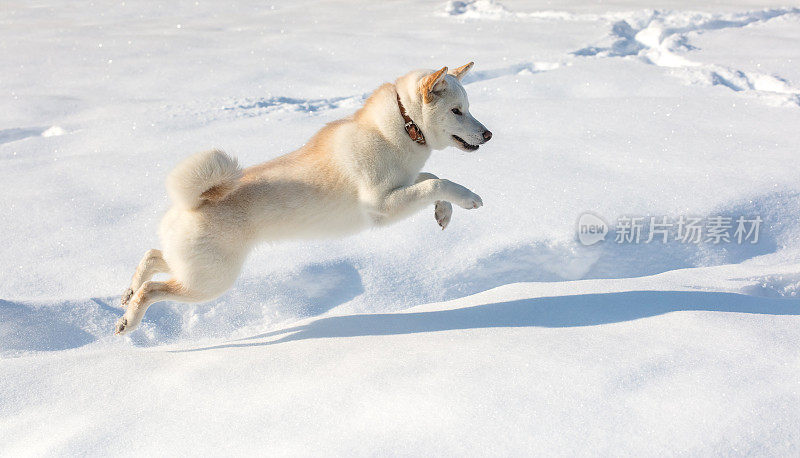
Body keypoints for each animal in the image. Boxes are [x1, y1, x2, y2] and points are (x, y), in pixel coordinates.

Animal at [115, 62, 490, 334]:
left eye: (469, 108)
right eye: (457, 111)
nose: (488, 134)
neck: (403, 126)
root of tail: (191, 202)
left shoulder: (403, 187)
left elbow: (431, 178)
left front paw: (444, 212)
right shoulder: (381, 207)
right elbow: (436, 183)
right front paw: (468, 198)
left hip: (196, 269)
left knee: (151, 256)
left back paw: (129, 292)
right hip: (210, 282)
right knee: (155, 288)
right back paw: (128, 321)